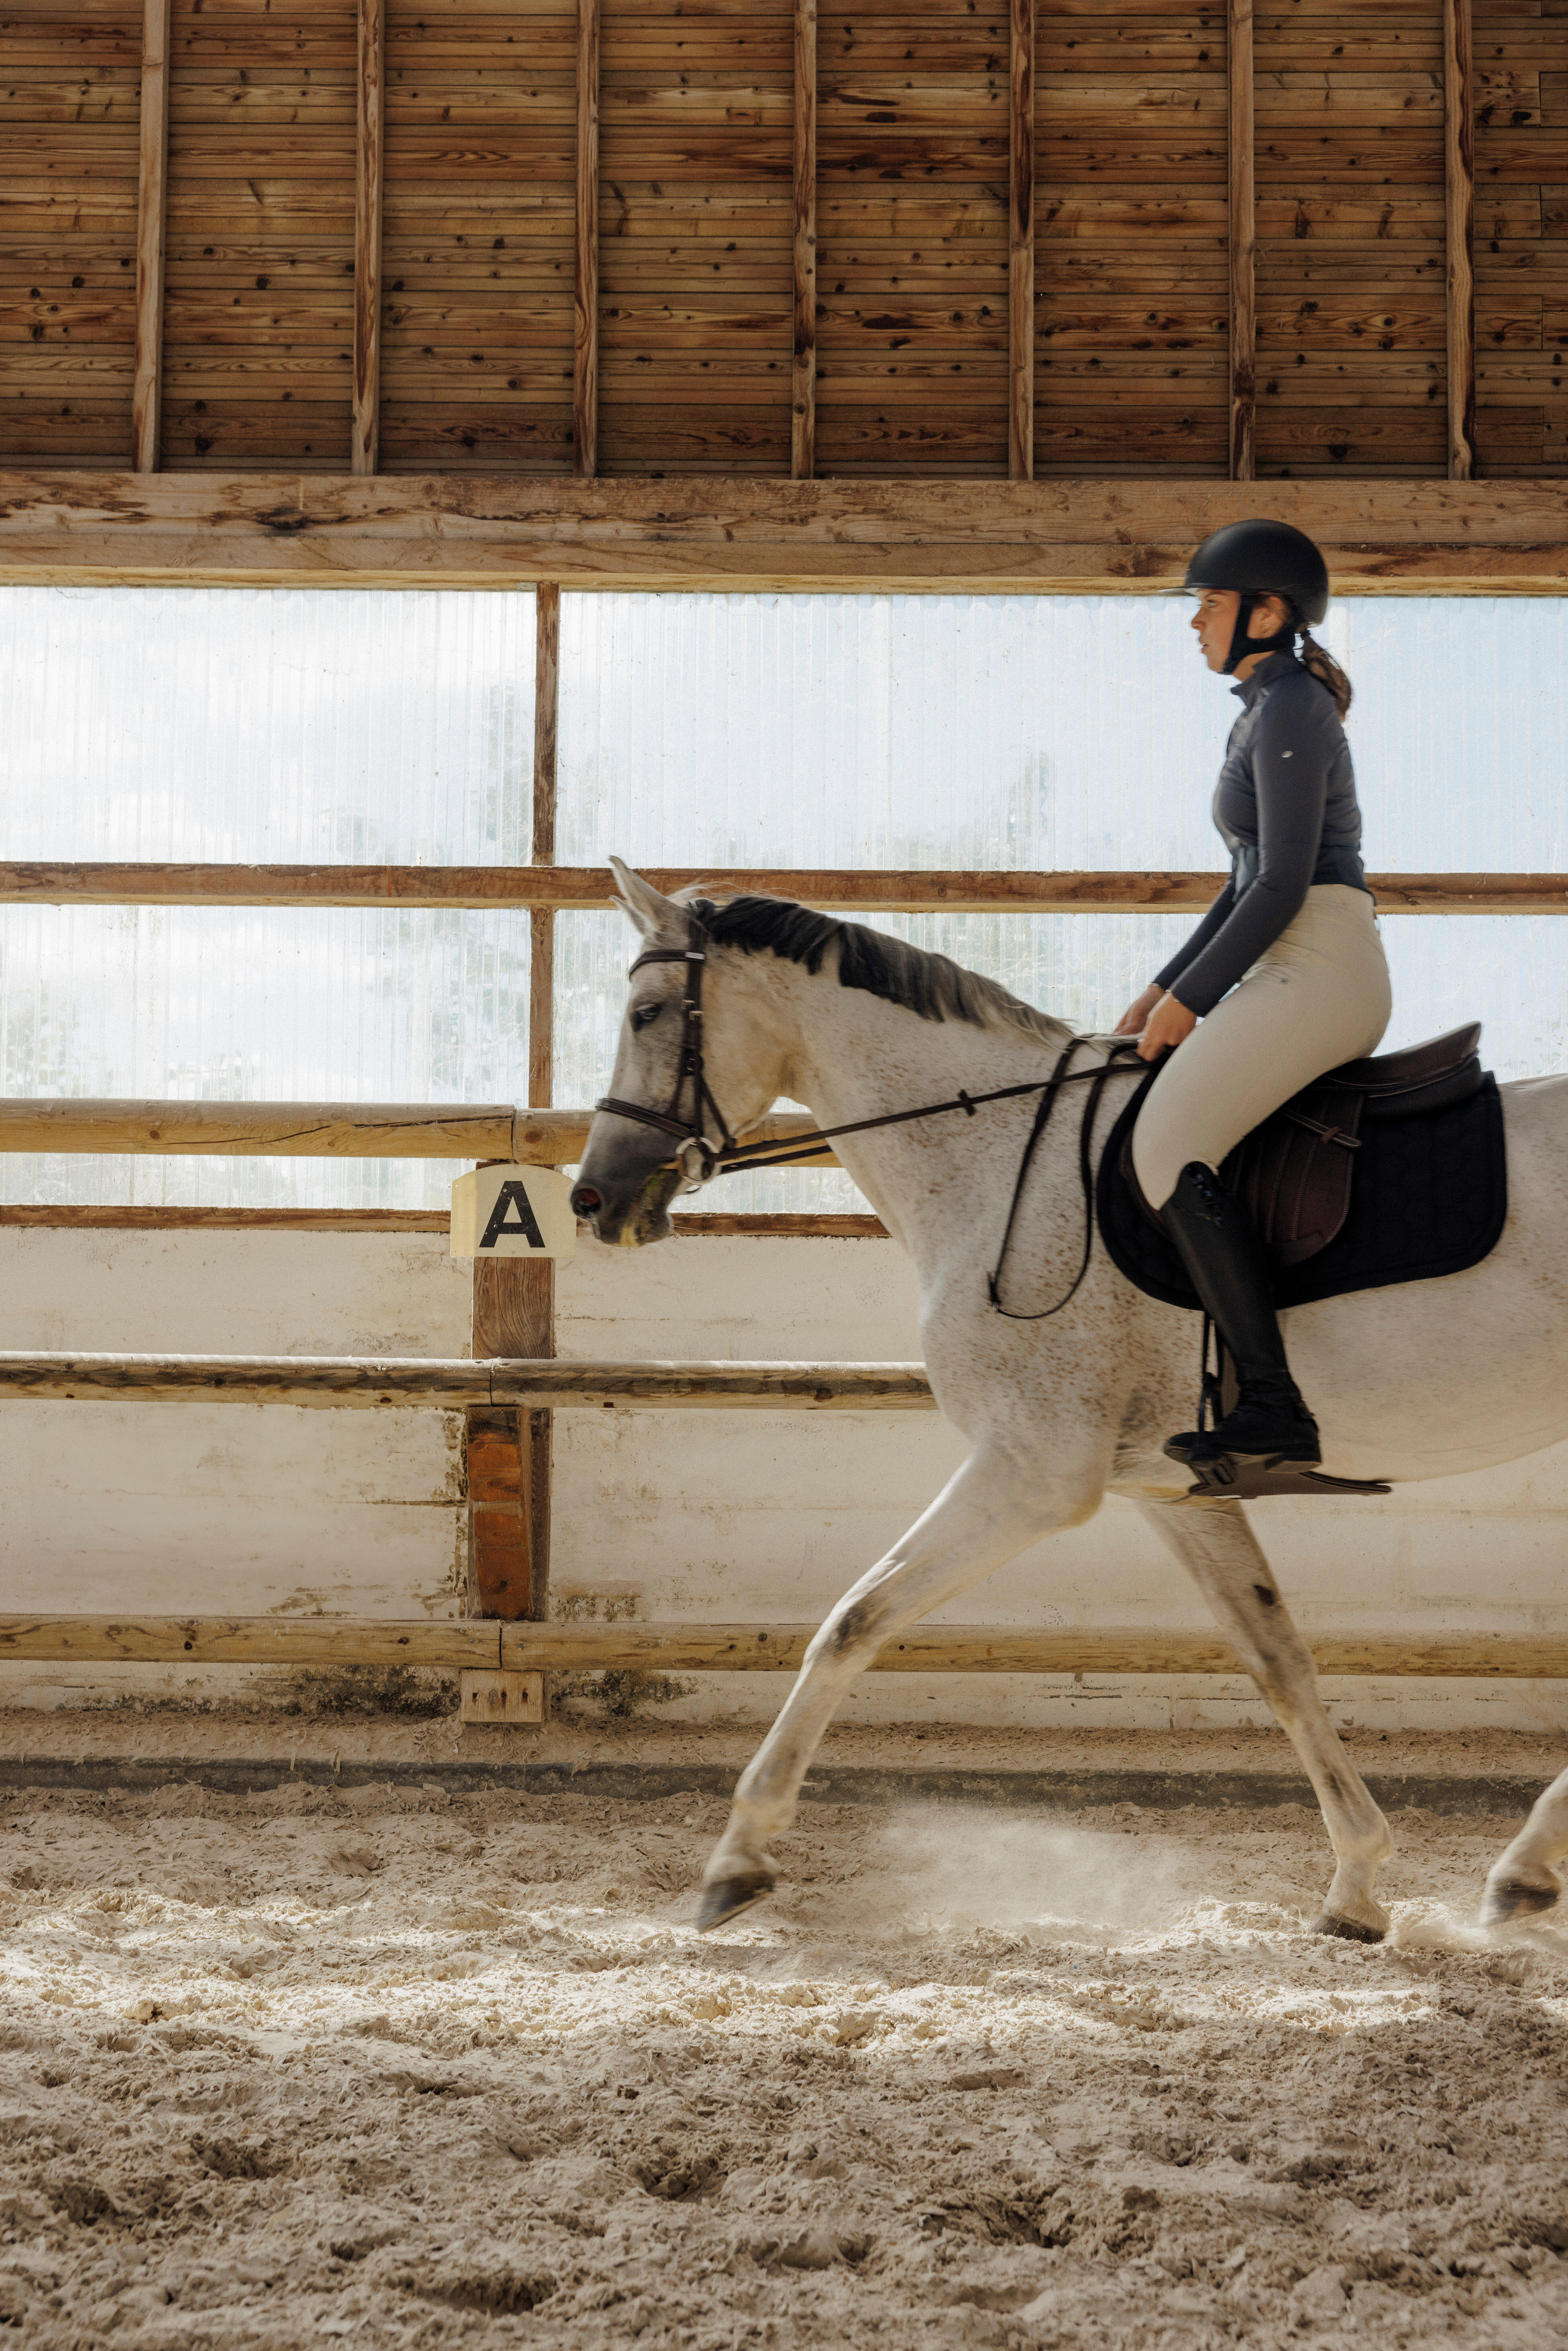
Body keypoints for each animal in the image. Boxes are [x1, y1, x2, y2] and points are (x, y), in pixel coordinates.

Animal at [570, 861, 1568, 1941]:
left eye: (646, 1012)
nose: (593, 1200)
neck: (996, 1156)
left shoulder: (1033, 1472)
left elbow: (853, 1618)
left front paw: (739, 1858)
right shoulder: (1173, 1492)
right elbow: (1277, 1658)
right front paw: (1355, 1884)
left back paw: (1527, 1868)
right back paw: (1525, 1869)